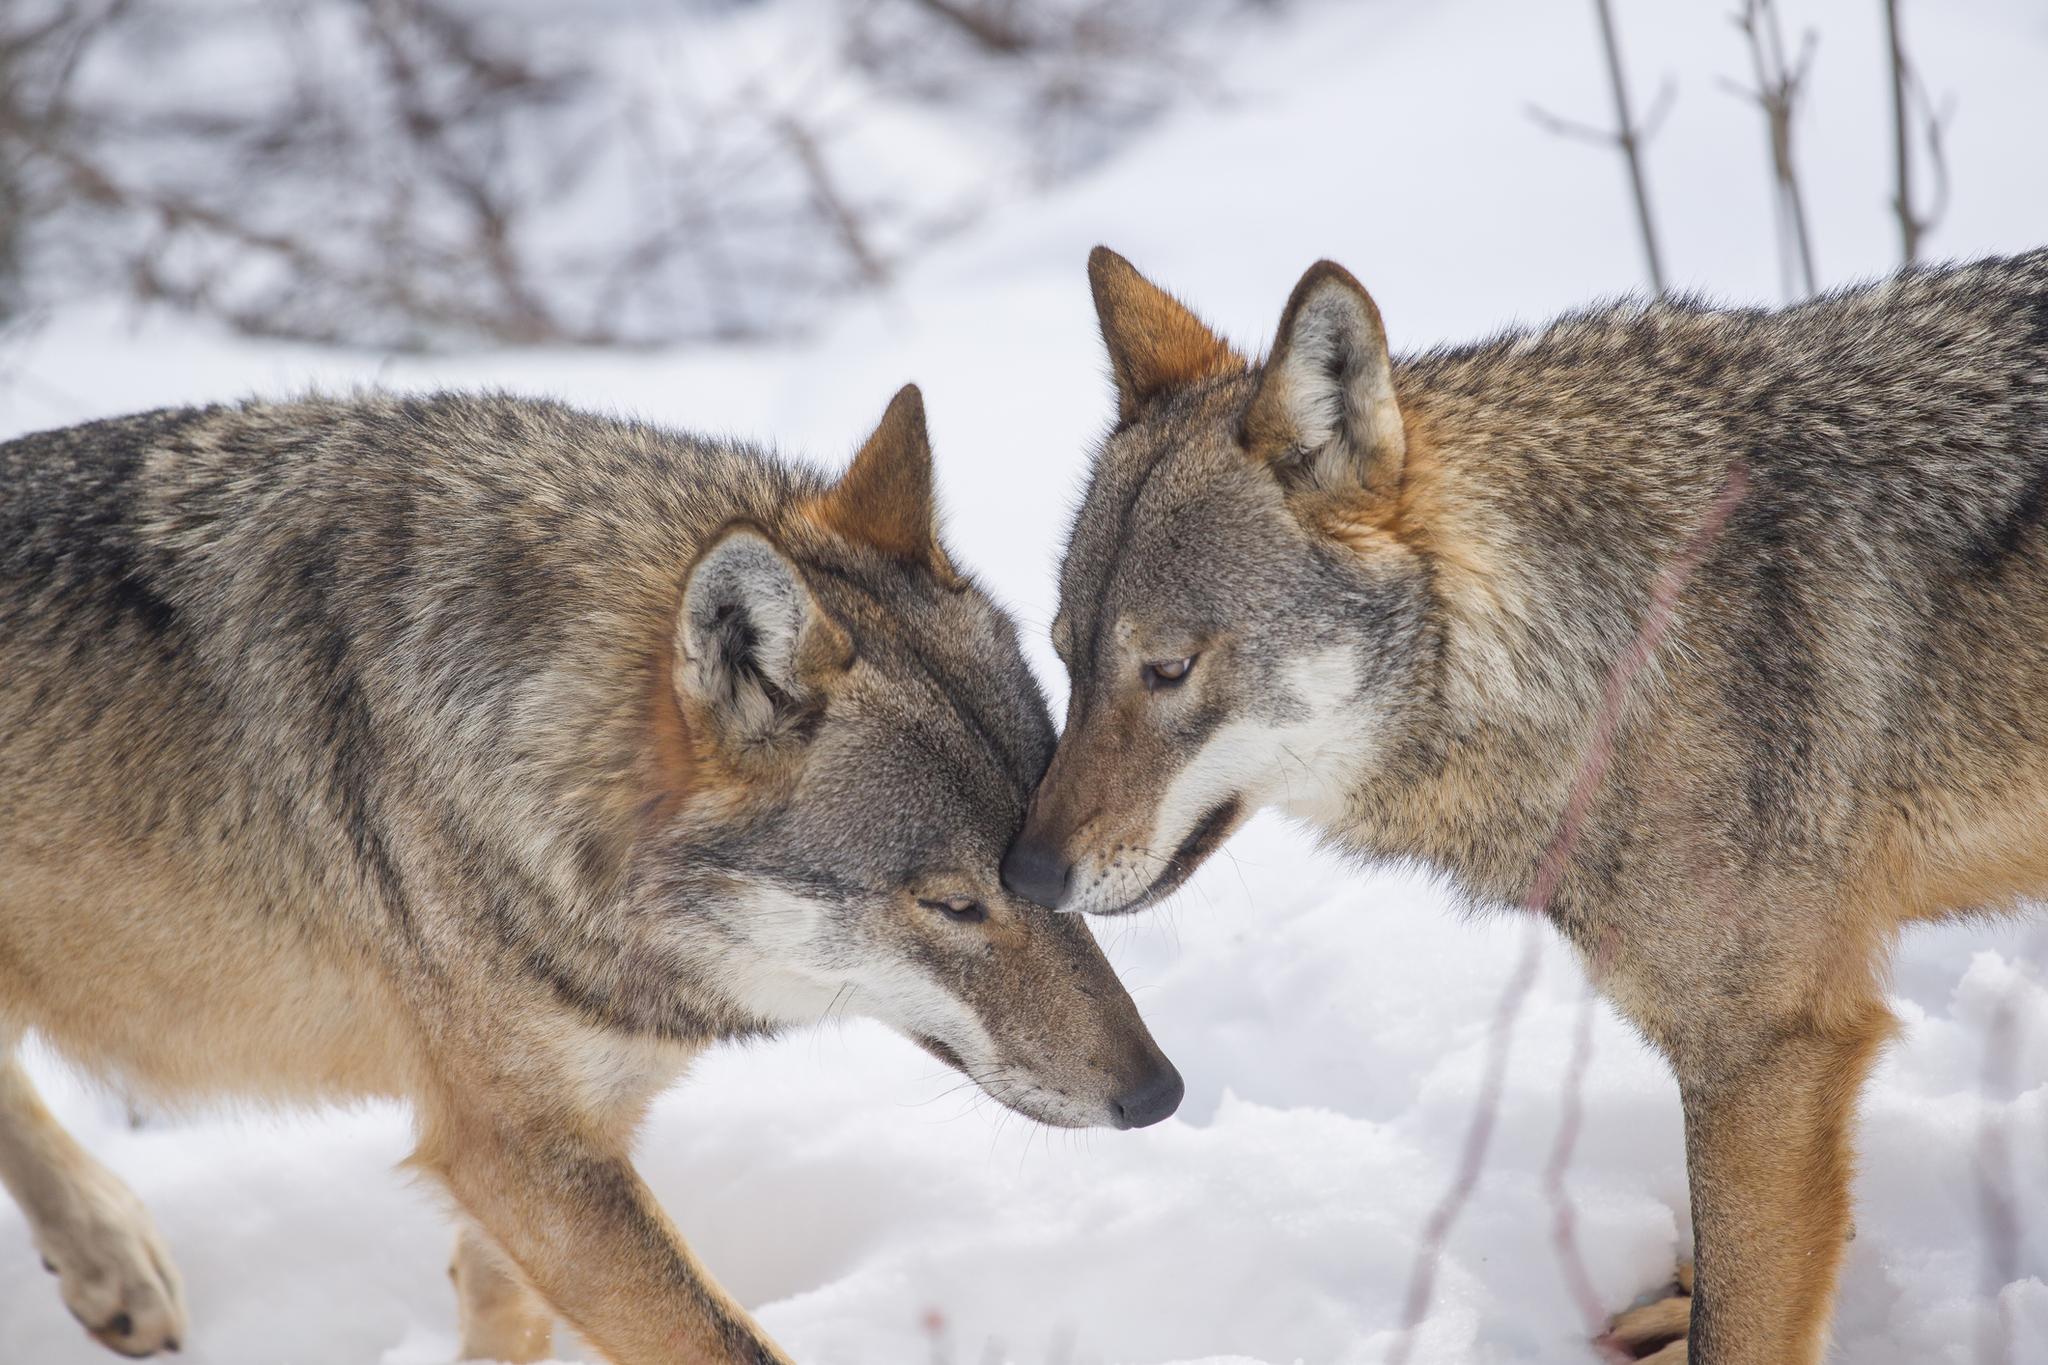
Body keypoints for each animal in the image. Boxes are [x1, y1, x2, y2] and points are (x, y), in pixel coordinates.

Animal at [4, 384, 1187, 1365]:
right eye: (952, 903)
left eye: (1042, 862)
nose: (1160, 1095)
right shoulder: (520, 1154)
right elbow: (722, 1344)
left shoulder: (570, 1142)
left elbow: (507, 1312)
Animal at [1003, 248, 2048, 1365]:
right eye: (1067, 660)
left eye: (1166, 669)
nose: (1022, 874)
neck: (1614, 639)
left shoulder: (1770, 1051)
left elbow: (1741, 1320)